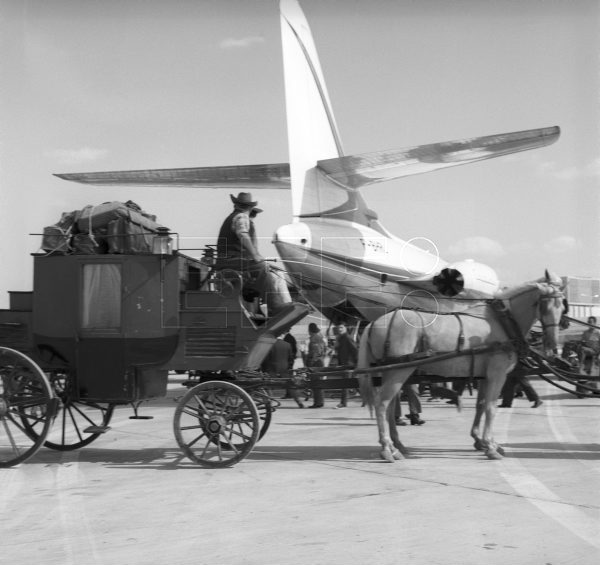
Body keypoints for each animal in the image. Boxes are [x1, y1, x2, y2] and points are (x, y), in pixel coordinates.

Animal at [358, 270, 564, 460]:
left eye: (562, 306)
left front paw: (481, 441)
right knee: (382, 404)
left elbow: (481, 405)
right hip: (399, 371)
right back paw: (387, 448)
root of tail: (374, 324)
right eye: (544, 304)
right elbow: (491, 408)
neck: (502, 321)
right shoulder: (497, 374)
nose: (553, 346)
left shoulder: (484, 376)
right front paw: (490, 447)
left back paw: (397, 445)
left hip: (391, 370)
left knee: (390, 406)